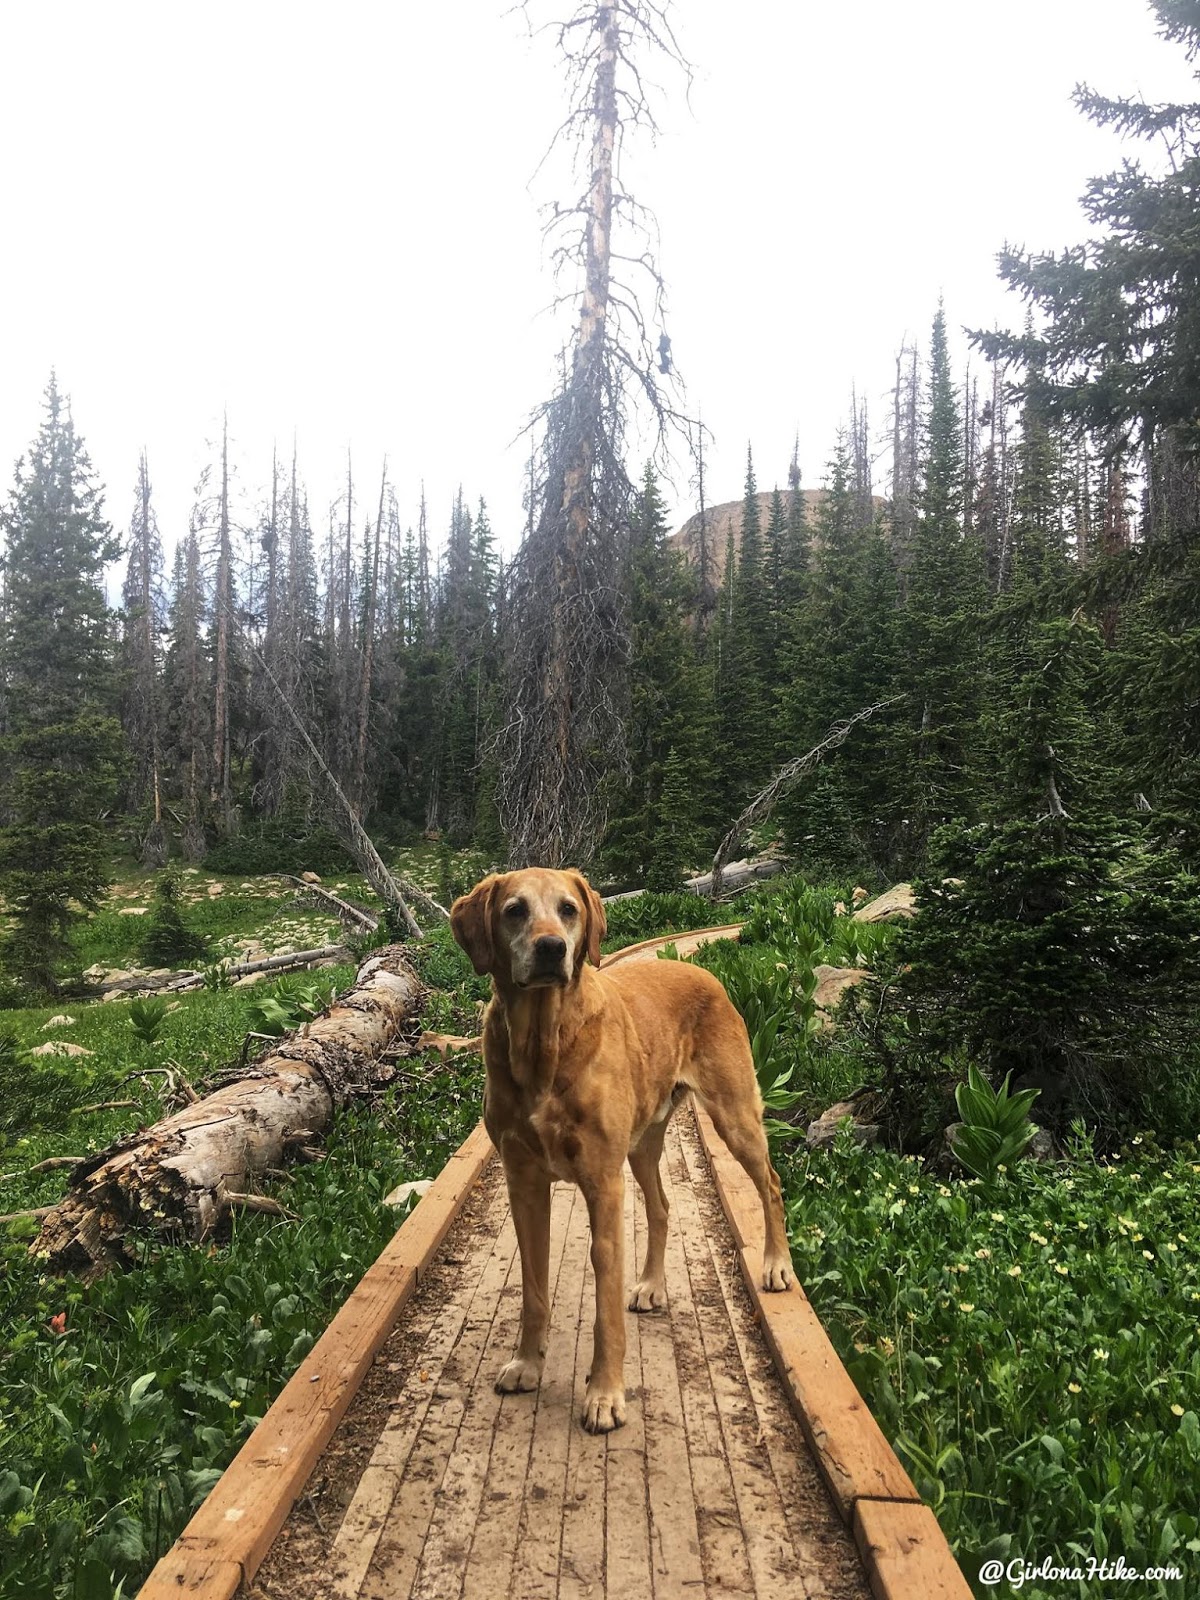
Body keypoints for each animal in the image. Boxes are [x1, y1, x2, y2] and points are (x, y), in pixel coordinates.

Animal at [451, 870, 800, 1433]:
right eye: (514, 911)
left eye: (568, 909)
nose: (551, 949)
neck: (544, 1044)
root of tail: (705, 972)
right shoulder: (524, 1182)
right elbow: (533, 1288)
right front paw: (527, 1363)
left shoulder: (602, 1182)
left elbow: (604, 1307)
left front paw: (604, 1394)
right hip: (643, 1146)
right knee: (660, 1206)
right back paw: (652, 1284)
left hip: (735, 1116)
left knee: (769, 1182)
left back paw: (775, 1266)